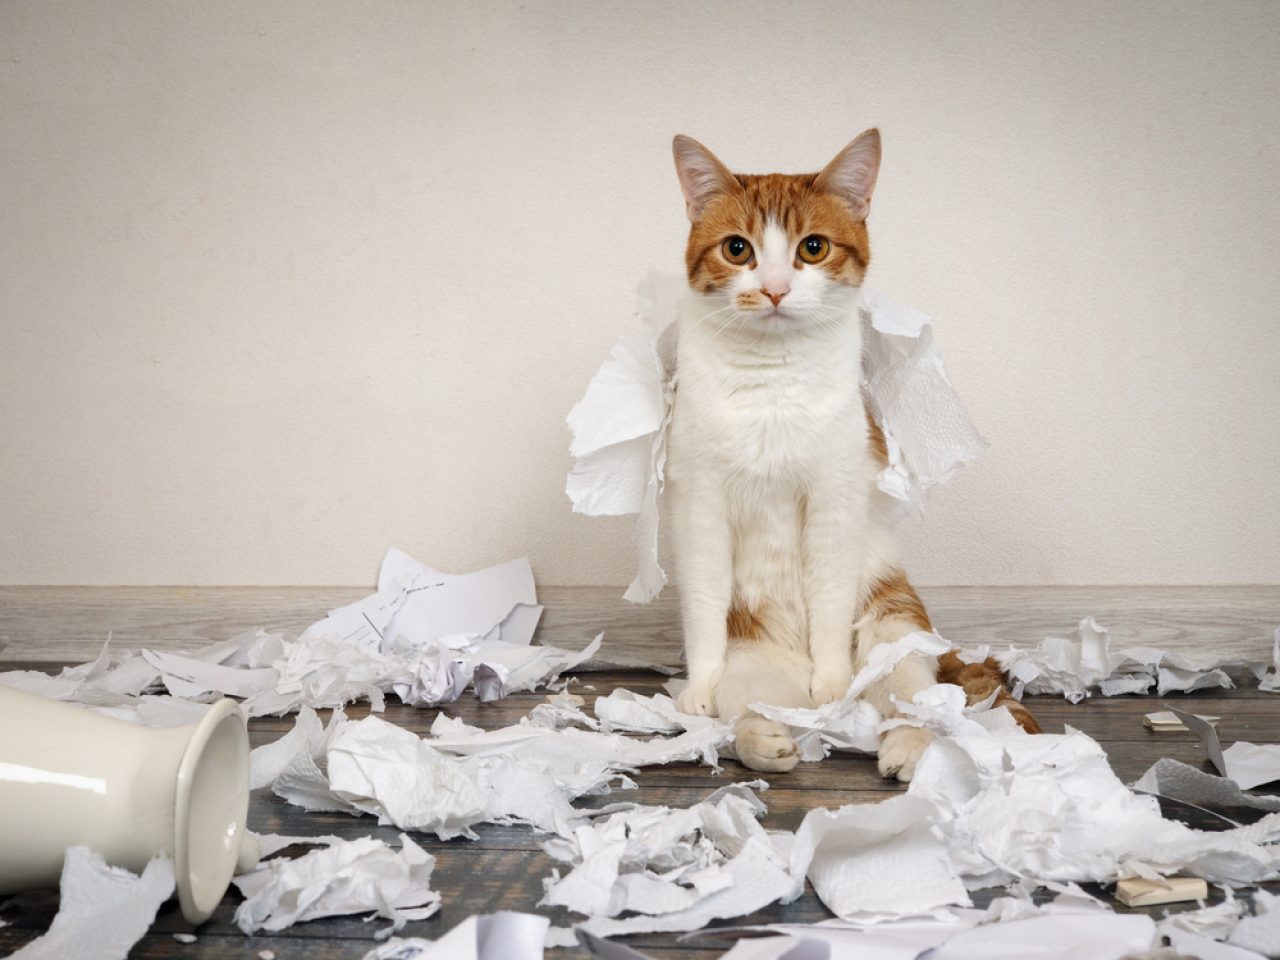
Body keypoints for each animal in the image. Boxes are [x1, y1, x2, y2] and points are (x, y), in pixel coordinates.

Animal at [665, 129, 1034, 783]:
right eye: (738, 249)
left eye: (813, 248)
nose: (776, 288)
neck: (772, 384)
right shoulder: (699, 505)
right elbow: (704, 607)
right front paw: (698, 689)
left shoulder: (834, 501)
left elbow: (831, 601)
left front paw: (833, 679)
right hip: (756, 667)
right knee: (755, 710)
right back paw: (770, 739)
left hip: (894, 625)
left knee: (909, 700)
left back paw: (902, 745)